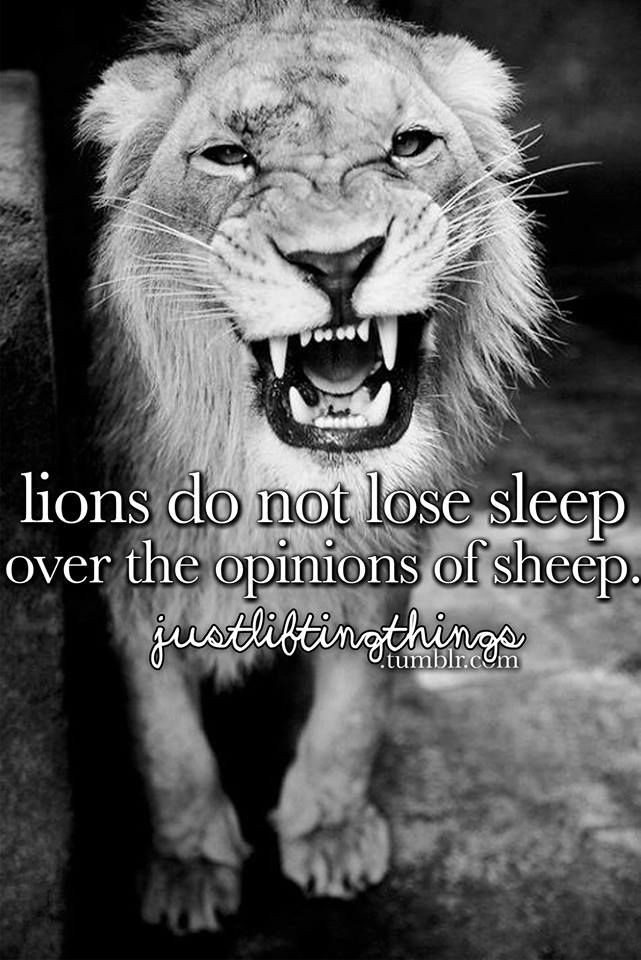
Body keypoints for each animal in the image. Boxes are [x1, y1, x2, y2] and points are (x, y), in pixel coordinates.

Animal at [79, 0, 548, 935]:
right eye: (228, 156)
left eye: (409, 145)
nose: (336, 262)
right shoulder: (127, 552)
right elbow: (161, 732)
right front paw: (187, 866)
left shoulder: (387, 544)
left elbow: (355, 705)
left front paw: (329, 829)